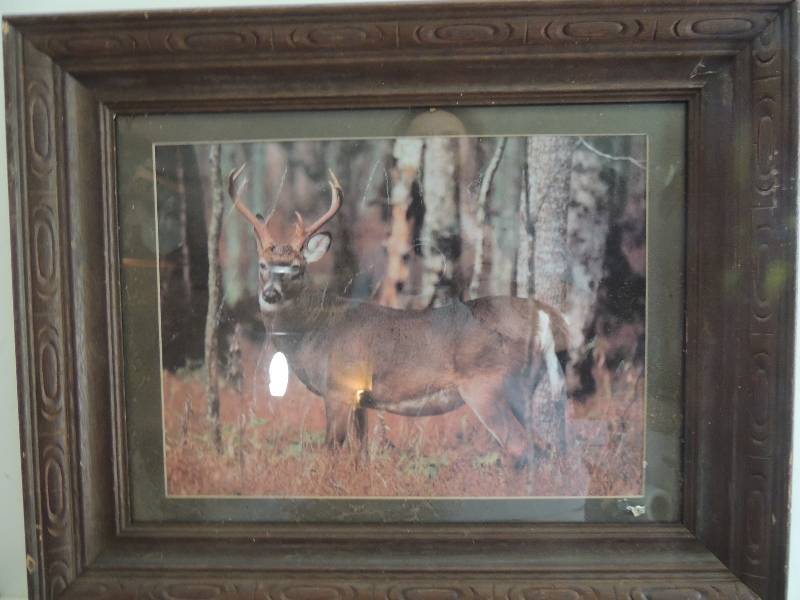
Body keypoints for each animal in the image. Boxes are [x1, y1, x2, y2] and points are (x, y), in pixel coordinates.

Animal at [227, 164, 570, 467]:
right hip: (522, 388)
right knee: (551, 446)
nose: (271, 294)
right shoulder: (361, 398)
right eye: (262, 265)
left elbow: (331, 452)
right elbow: (360, 455)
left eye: (297, 269)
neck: (312, 332)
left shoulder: (338, 389)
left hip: (488, 385)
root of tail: (549, 319)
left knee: (521, 447)